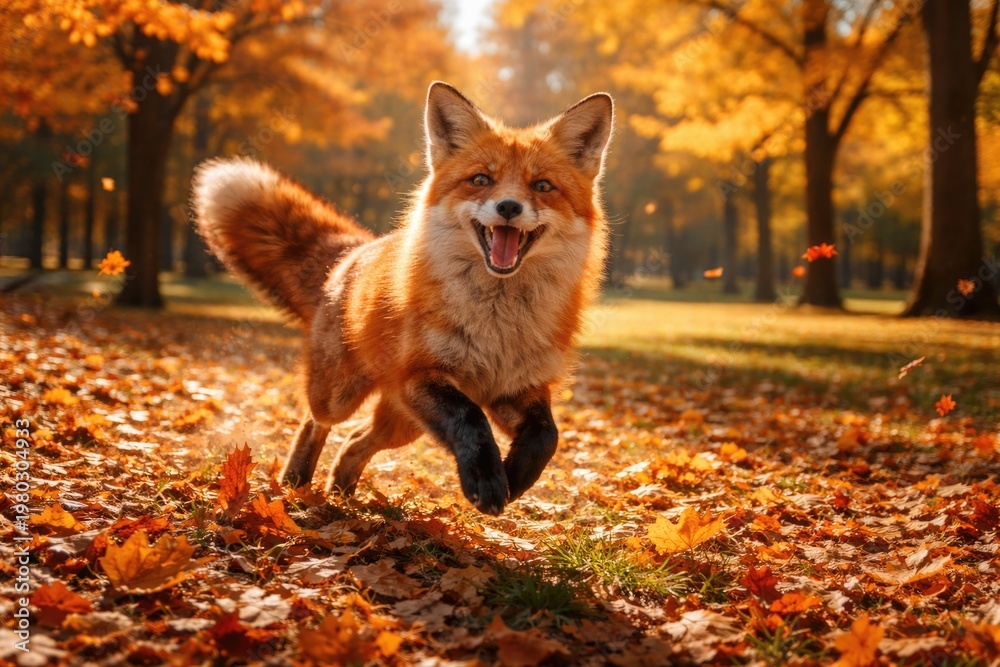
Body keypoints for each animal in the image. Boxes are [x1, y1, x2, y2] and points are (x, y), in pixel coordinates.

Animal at [192, 82, 613, 515]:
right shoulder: (419, 375)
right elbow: (471, 419)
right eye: (481, 179)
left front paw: (514, 477)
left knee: (355, 441)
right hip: (343, 397)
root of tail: (357, 250)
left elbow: (547, 437)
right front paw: (488, 479)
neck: (497, 325)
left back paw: (342, 492)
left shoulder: (517, 388)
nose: (509, 206)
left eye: (542, 186)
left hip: (404, 424)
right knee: (317, 421)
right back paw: (296, 481)